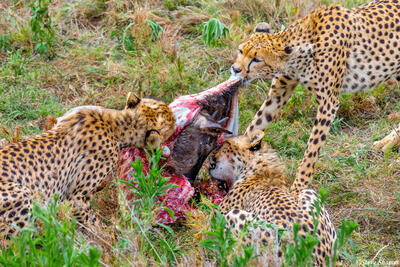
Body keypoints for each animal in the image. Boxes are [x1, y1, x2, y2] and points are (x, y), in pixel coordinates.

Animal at [0, 94, 175, 243]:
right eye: (171, 124)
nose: (175, 119)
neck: (115, 124)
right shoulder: (77, 198)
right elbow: (92, 222)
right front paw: (109, 238)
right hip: (22, 198)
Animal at [209, 130, 338, 266]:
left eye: (226, 144)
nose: (212, 157)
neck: (257, 169)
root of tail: (313, 259)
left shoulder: (218, 217)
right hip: (310, 192)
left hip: (237, 218)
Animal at [230, 0, 400, 197]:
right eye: (240, 51)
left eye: (257, 59)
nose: (235, 69)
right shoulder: (278, 93)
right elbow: (255, 125)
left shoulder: (328, 104)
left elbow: (311, 151)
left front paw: (297, 189)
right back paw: (386, 143)